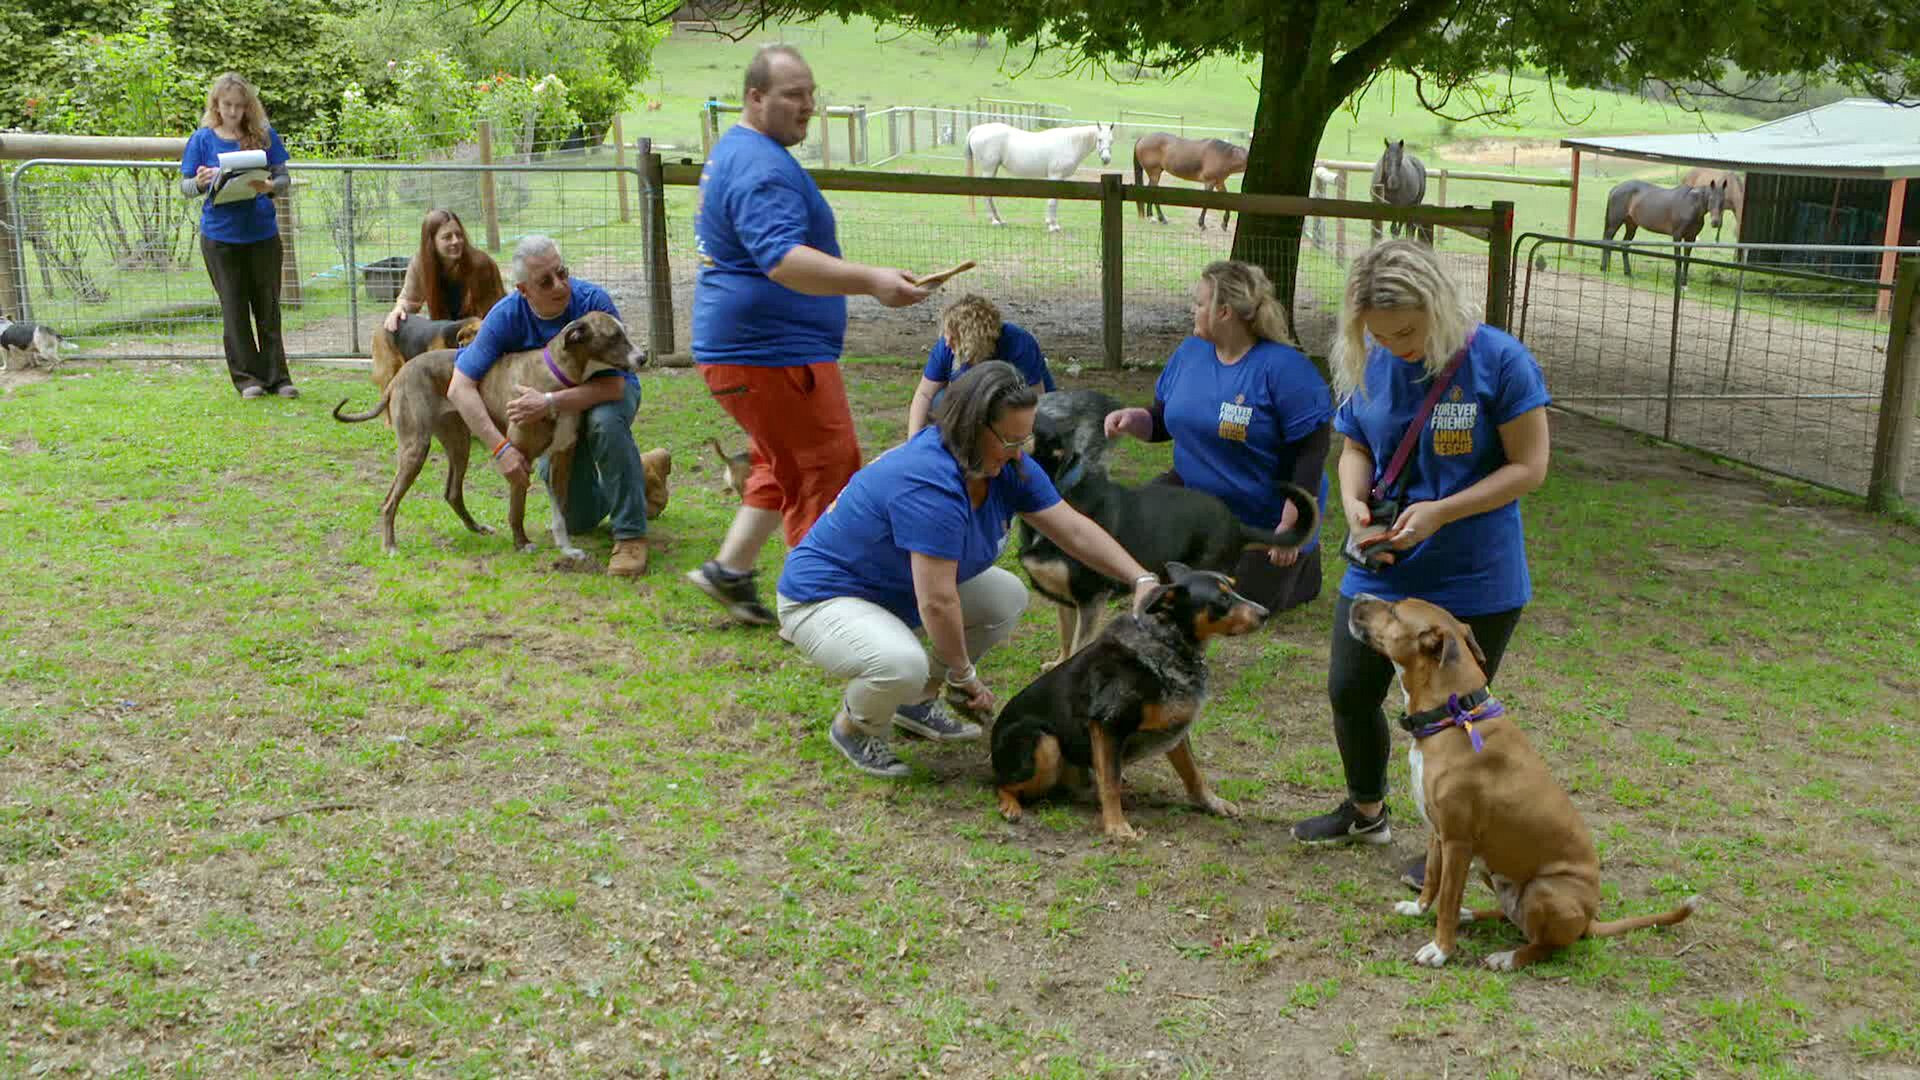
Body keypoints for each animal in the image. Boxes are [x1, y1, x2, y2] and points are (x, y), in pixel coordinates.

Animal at [328, 307, 629, 549]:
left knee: (452, 493)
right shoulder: (519, 456)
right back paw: (390, 545)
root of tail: (399, 377)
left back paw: (475, 527)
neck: (556, 375)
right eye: (614, 336)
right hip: (416, 447)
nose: (639, 358)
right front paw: (521, 543)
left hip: (458, 444)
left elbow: (561, 505)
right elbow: (517, 509)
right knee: (389, 501)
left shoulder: (562, 456)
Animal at [967, 122, 1121, 231]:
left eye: (1112, 141)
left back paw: (999, 220)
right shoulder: (1055, 176)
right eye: (1099, 139)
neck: (1070, 143)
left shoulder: (1060, 179)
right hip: (989, 169)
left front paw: (1052, 223)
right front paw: (1052, 226)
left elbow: (1056, 201)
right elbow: (1052, 201)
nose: (1106, 159)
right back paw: (994, 221)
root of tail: (977, 130)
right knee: (986, 195)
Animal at [1344, 591, 1704, 972]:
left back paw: (1507, 957)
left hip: (1543, 890)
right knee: (1510, 917)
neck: (1454, 714)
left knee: (1547, 945)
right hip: (1493, 873)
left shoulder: (1458, 842)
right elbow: (1432, 879)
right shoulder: (1438, 832)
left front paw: (1441, 949)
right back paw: (1473, 916)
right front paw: (1418, 908)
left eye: (1394, 611)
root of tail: (1589, 921)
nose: (1358, 595)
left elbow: (1447, 902)